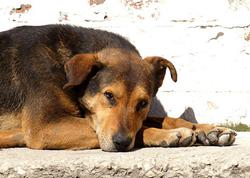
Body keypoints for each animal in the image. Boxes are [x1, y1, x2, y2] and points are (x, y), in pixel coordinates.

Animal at [0, 24, 236, 151]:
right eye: (108, 95)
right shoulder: (45, 126)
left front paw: (209, 130)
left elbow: (161, 119)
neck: (65, 70)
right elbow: (141, 128)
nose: (121, 143)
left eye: (143, 103)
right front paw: (169, 134)